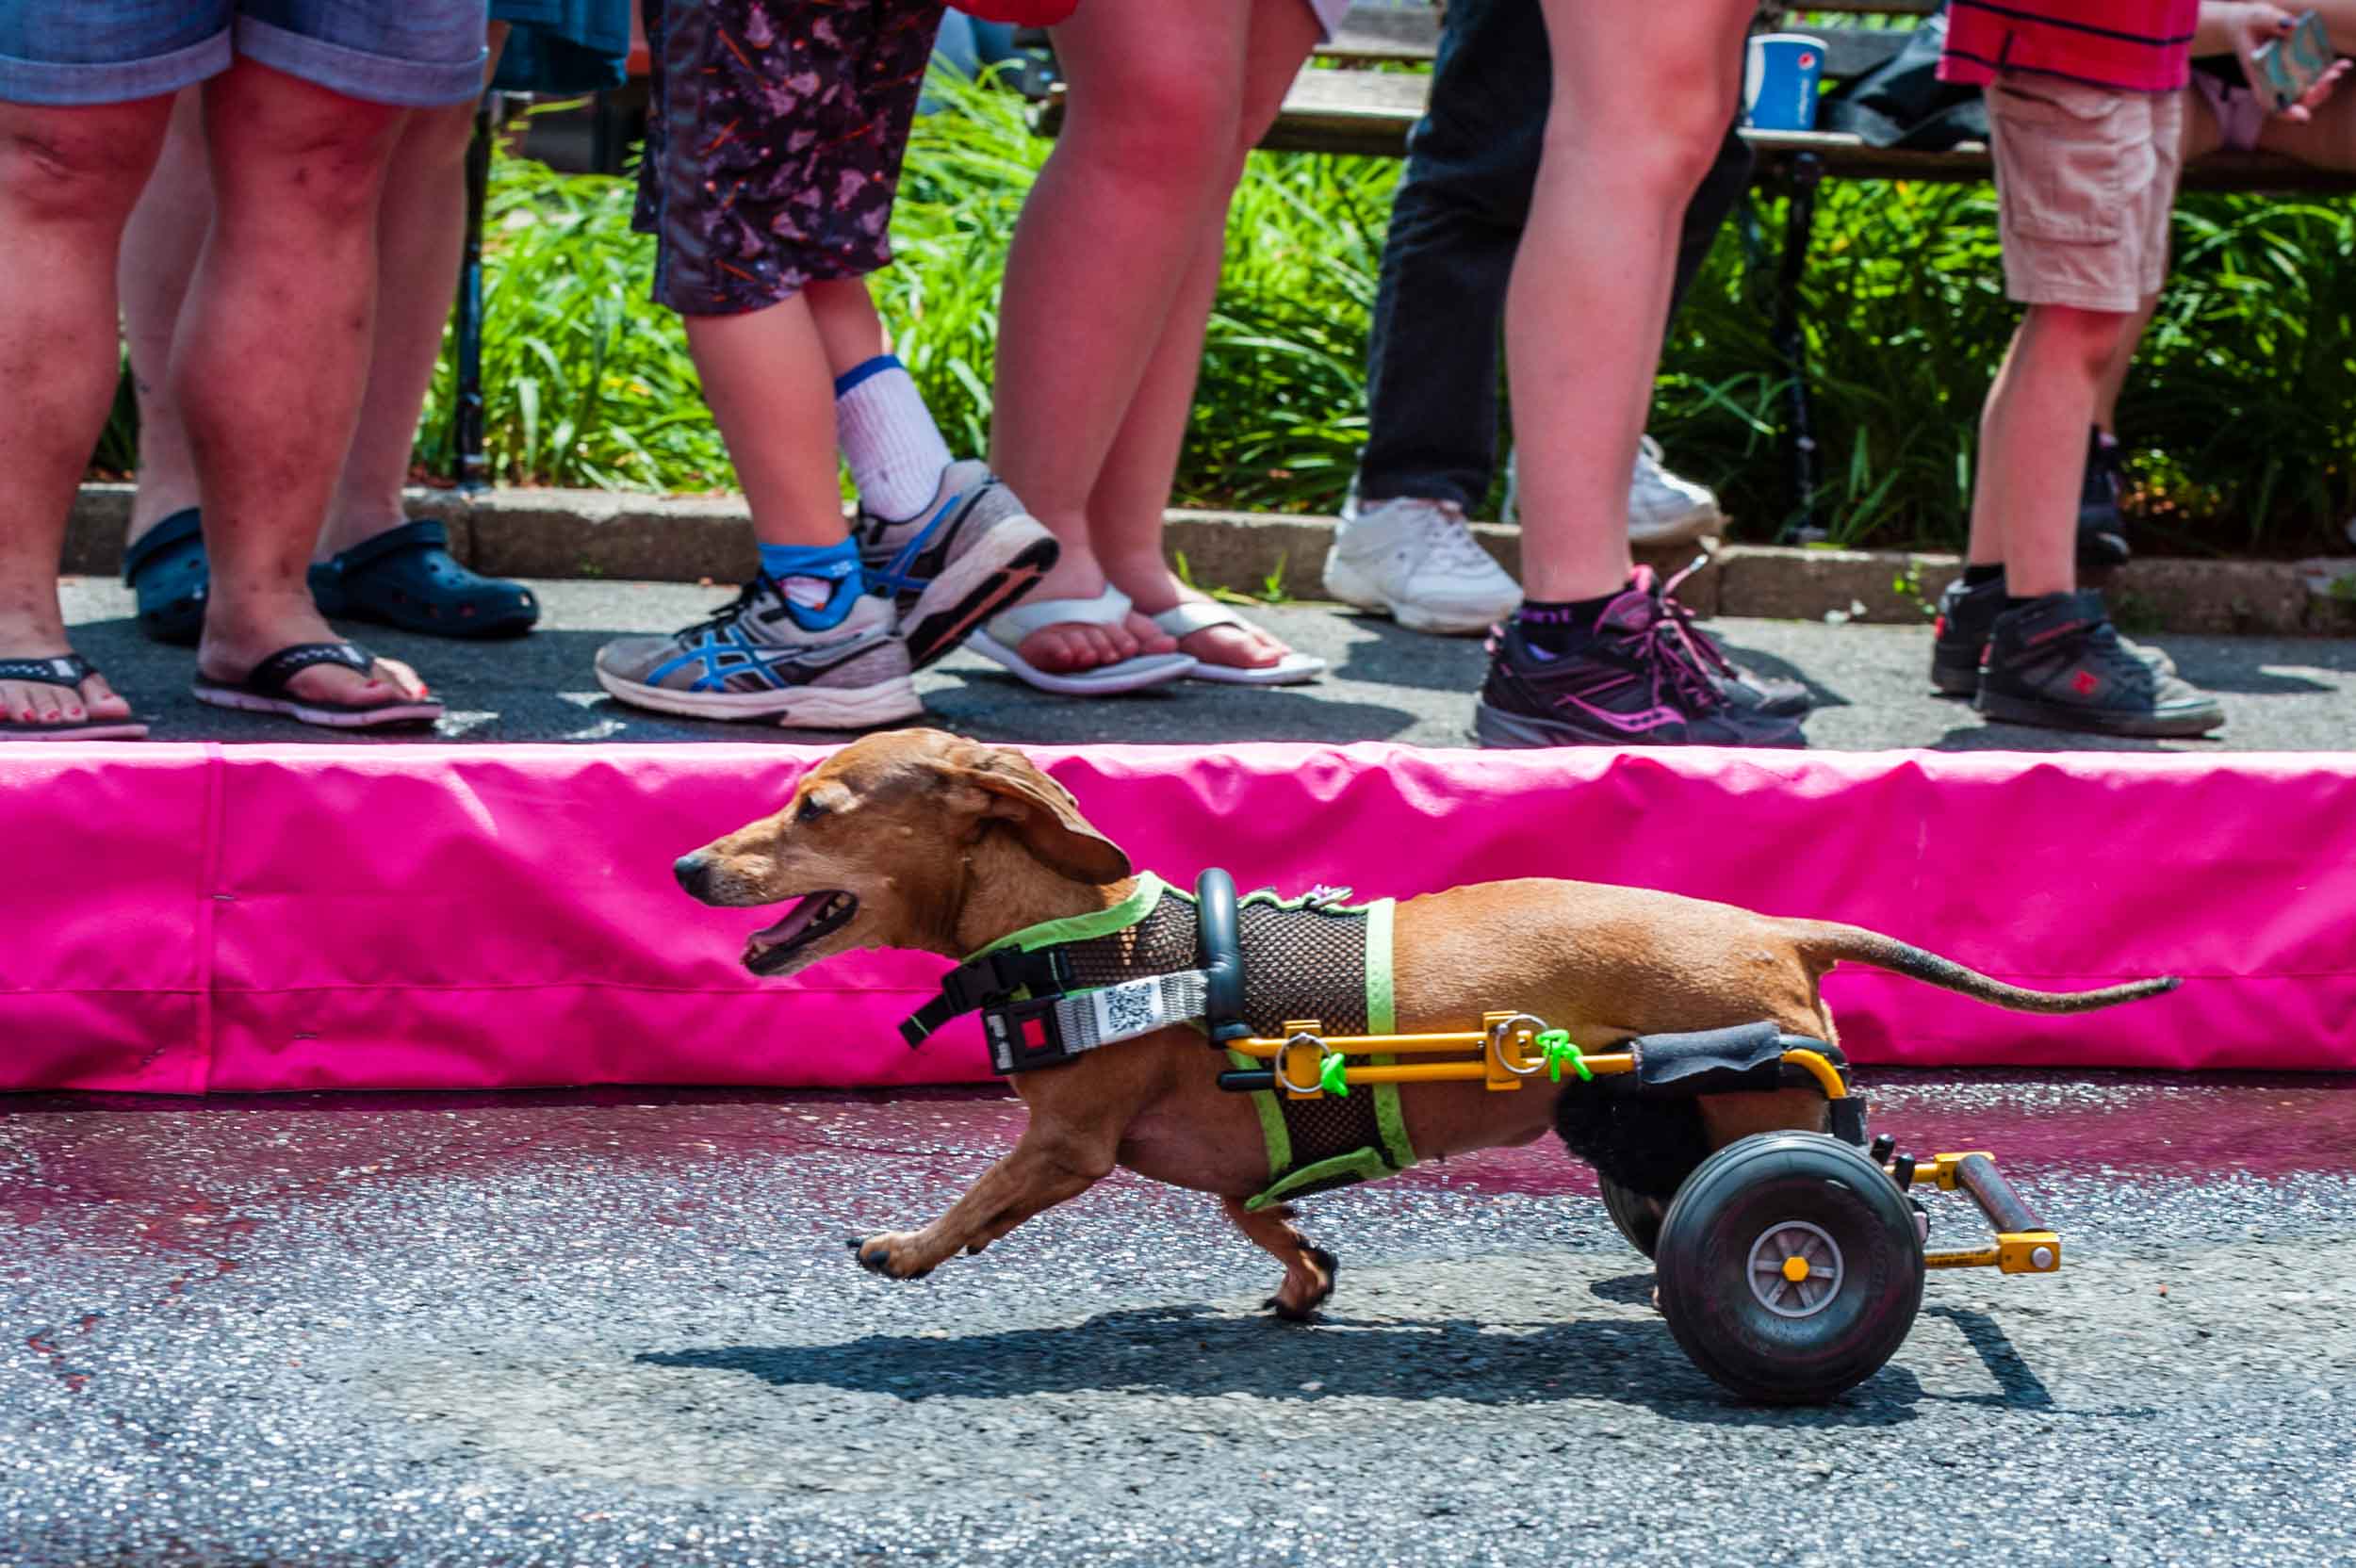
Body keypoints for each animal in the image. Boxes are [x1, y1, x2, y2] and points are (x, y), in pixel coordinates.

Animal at [679, 725, 2168, 1309]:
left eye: (815, 806)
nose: (688, 865)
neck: (1092, 937)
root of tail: (1776, 929)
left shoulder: (1065, 1144)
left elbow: (981, 1196)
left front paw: (907, 1247)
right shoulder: (1237, 1161)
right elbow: (1262, 1212)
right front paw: (1301, 1275)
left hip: (1764, 1107)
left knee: (1867, 1199)